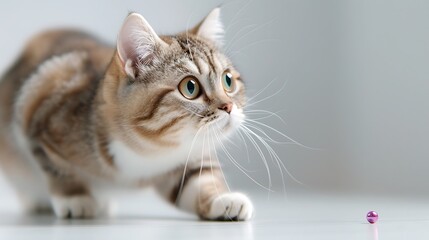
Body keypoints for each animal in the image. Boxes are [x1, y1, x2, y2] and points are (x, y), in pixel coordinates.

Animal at [0, 7, 252, 220]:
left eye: (228, 80)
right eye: (190, 87)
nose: (229, 107)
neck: (149, 150)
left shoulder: (187, 158)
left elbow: (198, 181)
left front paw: (223, 200)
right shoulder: (38, 113)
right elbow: (58, 168)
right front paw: (75, 198)